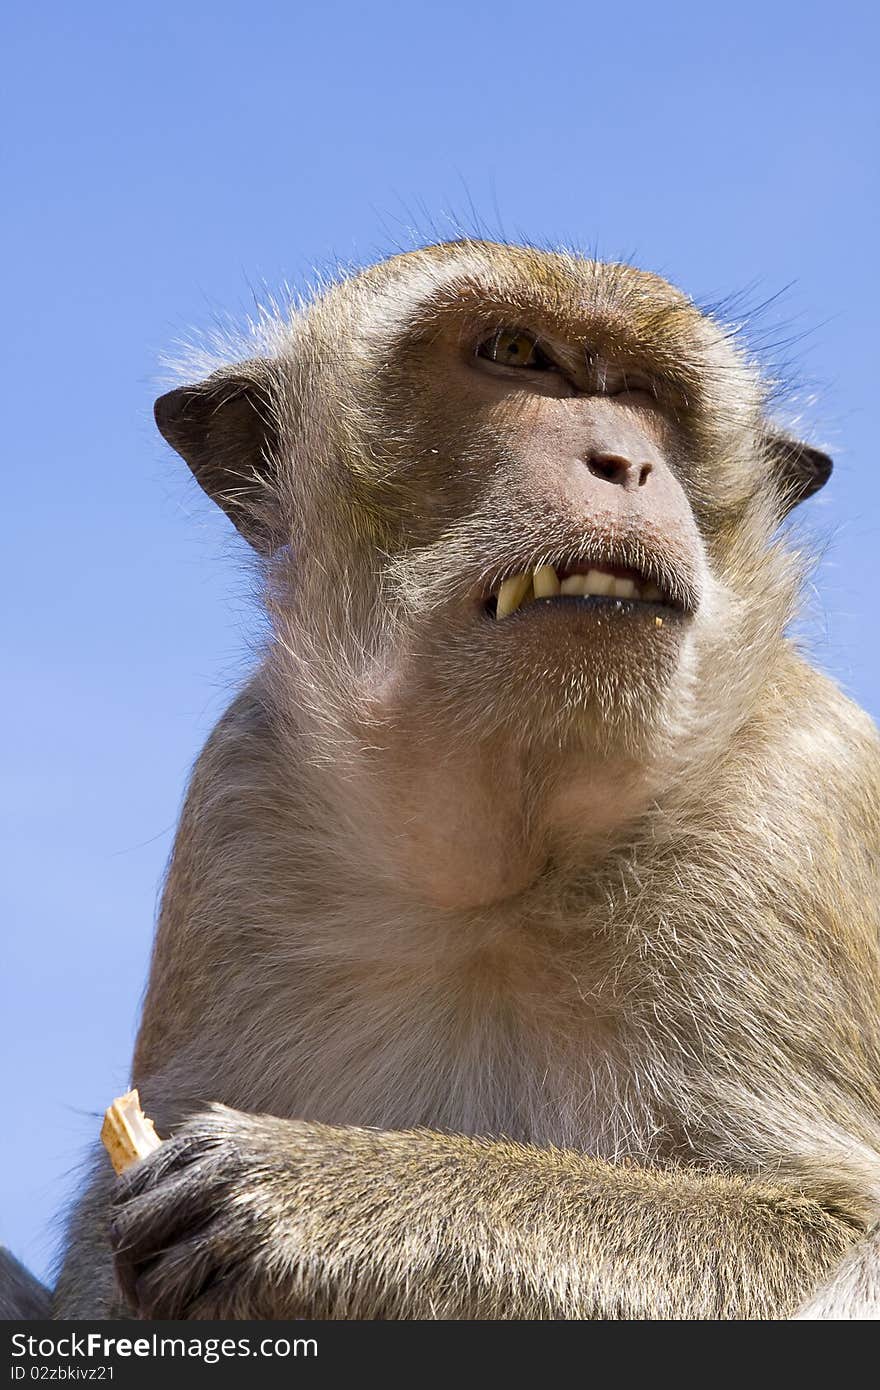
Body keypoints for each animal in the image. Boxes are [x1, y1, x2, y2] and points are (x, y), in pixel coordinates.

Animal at [53, 244, 878, 1317]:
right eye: (515, 355)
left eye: (649, 395)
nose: (627, 463)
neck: (505, 877)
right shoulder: (240, 800)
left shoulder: (789, 810)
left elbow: (844, 1234)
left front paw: (307, 1192)